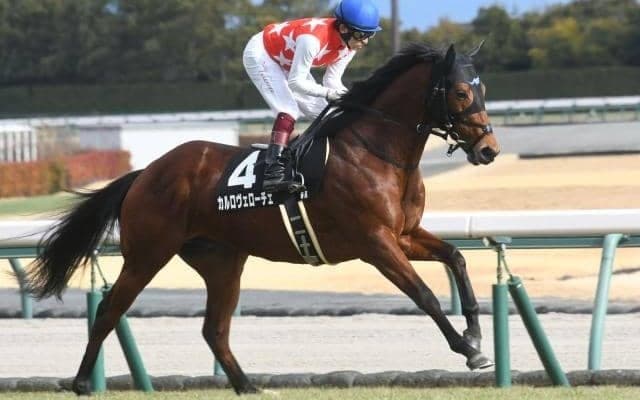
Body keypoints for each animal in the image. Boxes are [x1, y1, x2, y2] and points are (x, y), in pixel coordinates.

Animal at [25, 42, 500, 395]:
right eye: (461, 92)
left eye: (483, 91)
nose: (489, 150)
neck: (376, 151)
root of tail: (146, 172)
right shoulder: (374, 242)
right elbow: (424, 294)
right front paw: (468, 349)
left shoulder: (404, 234)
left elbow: (456, 257)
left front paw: (476, 333)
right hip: (147, 253)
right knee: (110, 310)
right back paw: (81, 382)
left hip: (221, 260)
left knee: (214, 329)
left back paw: (248, 386)